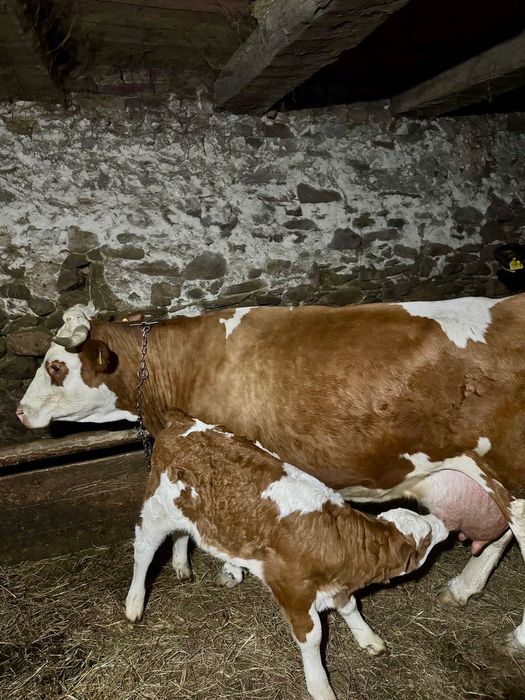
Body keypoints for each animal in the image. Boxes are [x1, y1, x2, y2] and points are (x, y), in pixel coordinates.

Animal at [16, 295, 525, 647]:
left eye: (56, 366)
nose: (20, 412)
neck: (188, 367)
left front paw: (229, 571)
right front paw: (186, 562)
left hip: (515, 480)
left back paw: (515, 638)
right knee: (498, 536)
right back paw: (462, 587)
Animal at [125, 410, 449, 700]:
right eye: (426, 538)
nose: (443, 523)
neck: (341, 541)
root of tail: (183, 421)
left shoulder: (337, 584)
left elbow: (350, 606)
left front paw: (369, 639)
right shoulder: (292, 589)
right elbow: (313, 636)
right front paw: (320, 687)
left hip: (184, 513)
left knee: (181, 534)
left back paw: (182, 566)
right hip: (156, 510)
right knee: (144, 550)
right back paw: (134, 604)